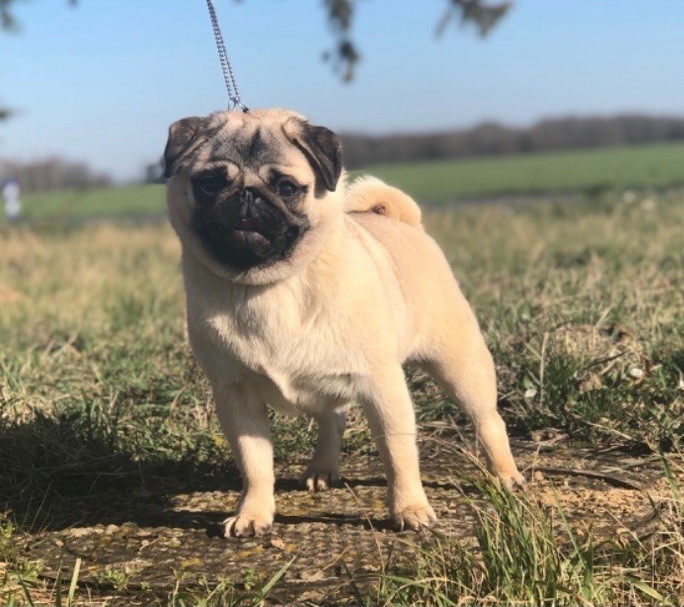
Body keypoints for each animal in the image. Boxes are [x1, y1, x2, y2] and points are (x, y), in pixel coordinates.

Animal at [164, 108, 524, 537]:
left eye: (286, 188)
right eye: (210, 183)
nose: (247, 195)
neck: (268, 287)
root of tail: (406, 223)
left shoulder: (382, 386)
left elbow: (398, 453)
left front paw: (410, 508)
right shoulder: (235, 394)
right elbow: (255, 463)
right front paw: (253, 513)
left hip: (459, 365)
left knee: (487, 420)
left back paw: (505, 474)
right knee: (331, 418)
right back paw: (323, 468)